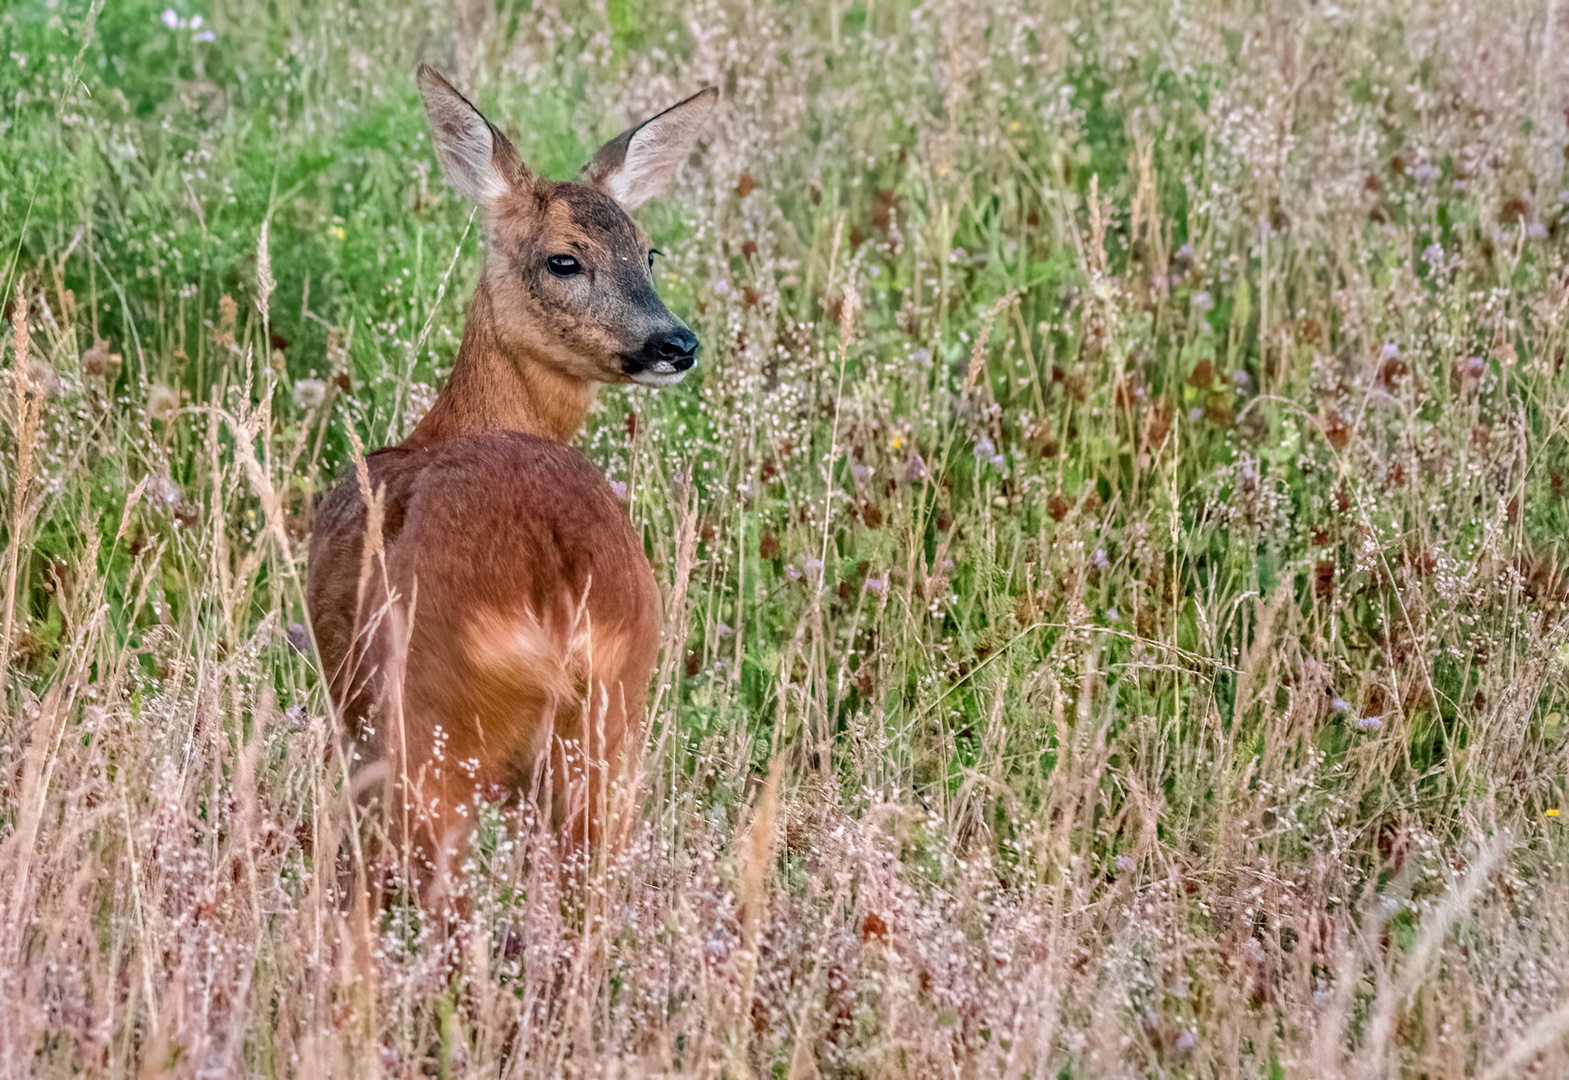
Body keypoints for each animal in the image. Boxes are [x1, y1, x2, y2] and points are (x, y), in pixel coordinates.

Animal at [304, 67, 718, 904]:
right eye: (565, 260)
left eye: (646, 252)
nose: (676, 343)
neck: (449, 427)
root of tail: (554, 588)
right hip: (610, 720)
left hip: (432, 727)